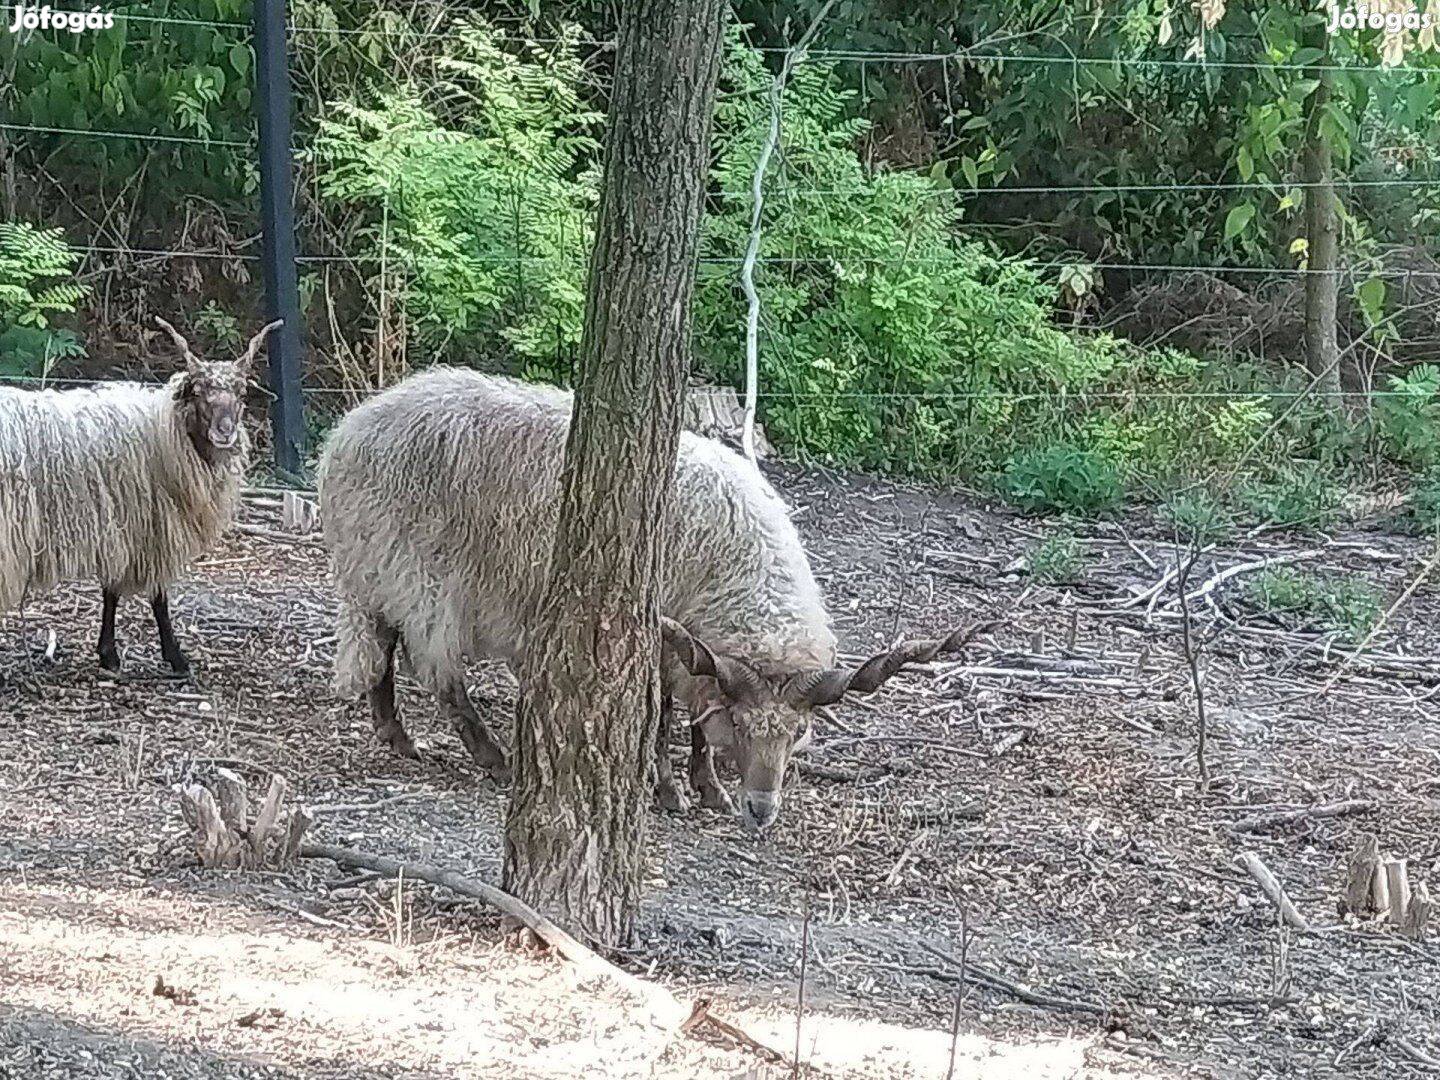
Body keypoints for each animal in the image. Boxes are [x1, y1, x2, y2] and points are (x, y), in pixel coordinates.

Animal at [0, 316, 280, 676]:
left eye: (242, 393)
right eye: (198, 391)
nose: (224, 432)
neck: (163, 431)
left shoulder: (124, 530)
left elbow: (111, 591)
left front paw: (108, 654)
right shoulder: (147, 529)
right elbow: (154, 597)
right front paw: (172, 657)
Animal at [319, 368, 984, 835]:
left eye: (796, 732)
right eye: (744, 726)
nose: (761, 810)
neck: (739, 564)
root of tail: (348, 430)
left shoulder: (693, 650)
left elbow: (693, 721)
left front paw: (708, 787)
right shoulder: (662, 635)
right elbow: (663, 717)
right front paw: (669, 790)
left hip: (383, 574)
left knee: (383, 647)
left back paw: (395, 735)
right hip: (418, 577)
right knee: (438, 675)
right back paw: (493, 758)